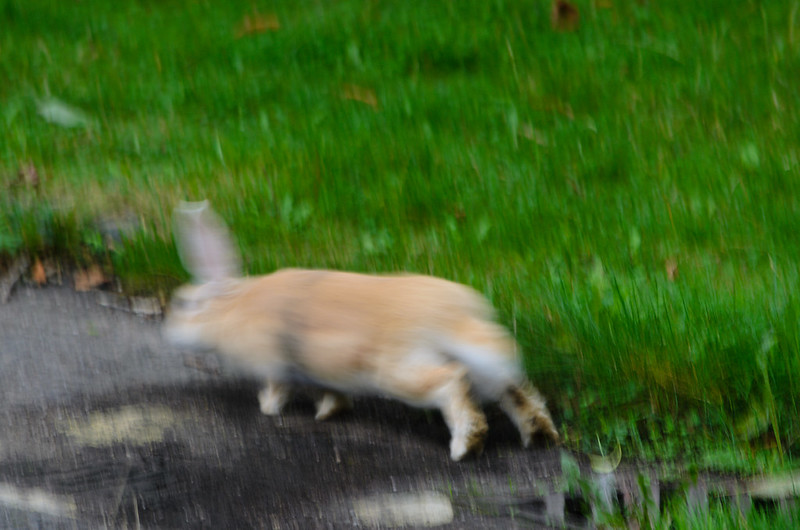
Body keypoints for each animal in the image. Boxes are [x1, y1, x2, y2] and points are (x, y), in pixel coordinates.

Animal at [163, 201, 558, 460]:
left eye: (184, 304)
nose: (168, 331)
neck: (233, 308)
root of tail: (453, 318)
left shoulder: (275, 364)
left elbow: (278, 389)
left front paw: (267, 408)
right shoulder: (319, 369)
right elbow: (330, 392)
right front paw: (328, 413)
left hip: (399, 370)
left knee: (451, 380)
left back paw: (465, 446)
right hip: (489, 368)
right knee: (515, 390)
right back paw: (540, 434)